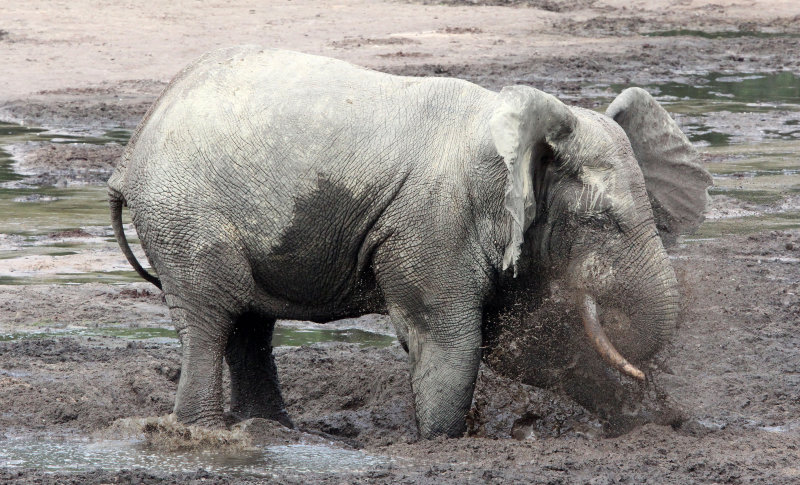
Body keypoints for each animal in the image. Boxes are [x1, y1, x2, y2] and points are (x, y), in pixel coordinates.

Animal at [108, 46, 712, 438]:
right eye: (603, 221)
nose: (662, 399)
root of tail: (132, 149)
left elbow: (521, 349)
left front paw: (655, 425)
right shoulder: (436, 222)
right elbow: (452, 343)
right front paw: (441, 444)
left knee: (248, 325)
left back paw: (272, 433)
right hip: (185, 215)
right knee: (212, 317)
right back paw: (208, 433)